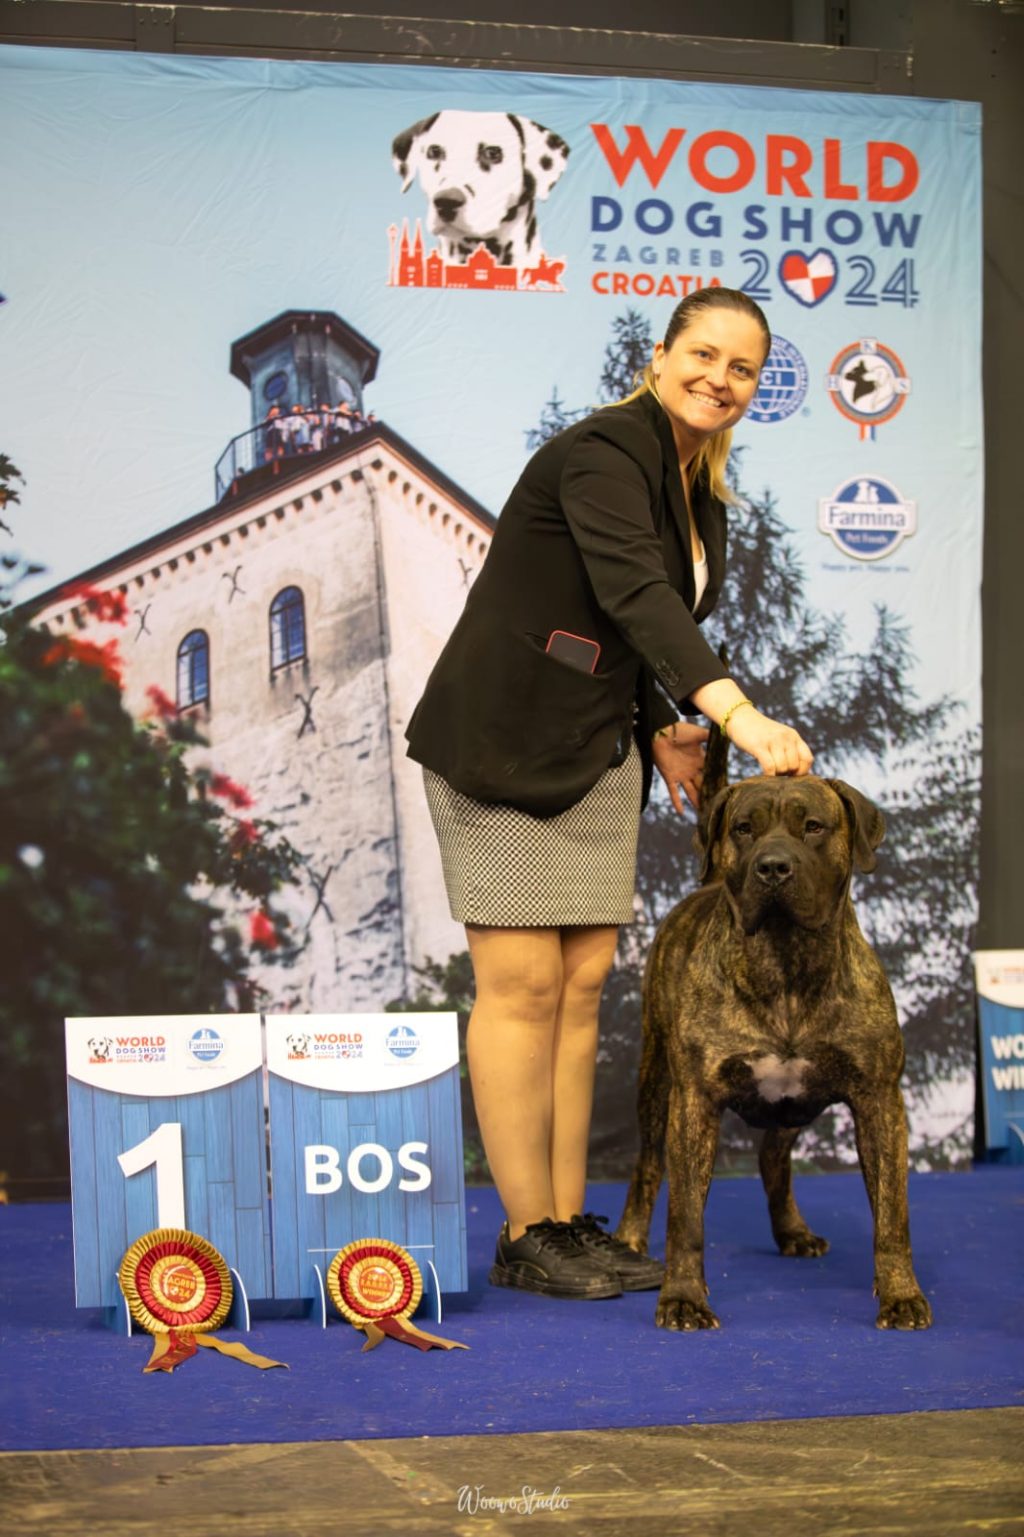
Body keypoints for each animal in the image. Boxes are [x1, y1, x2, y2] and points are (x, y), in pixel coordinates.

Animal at [615, 731, 934, 1334]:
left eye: (813, 826)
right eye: (744, 828)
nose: (772, 868)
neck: (787, 962)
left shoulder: (880, 1101)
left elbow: (893, 1215)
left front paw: (900, 1293)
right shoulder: (694, 1103)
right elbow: (686, 1217)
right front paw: (683, 1298)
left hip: (793, 1102)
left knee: (772, 1159)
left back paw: (793, 1231)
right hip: (655, 1083)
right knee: (646, 1168)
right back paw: (628, 1241)